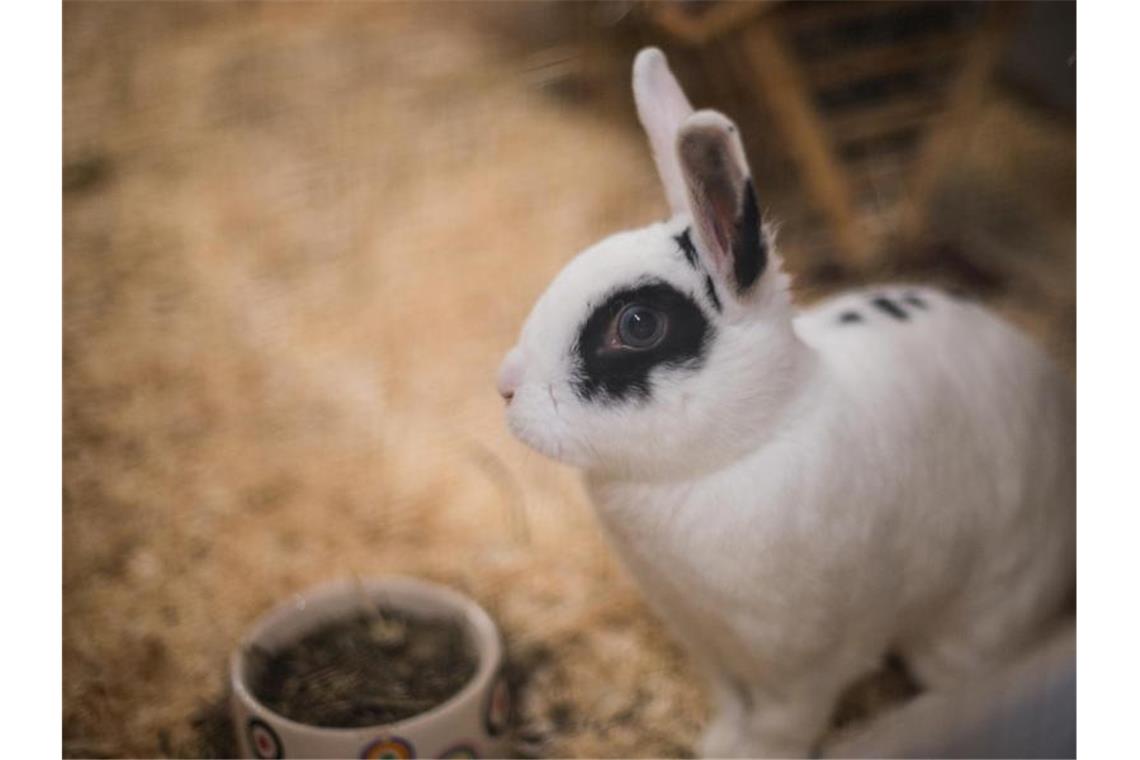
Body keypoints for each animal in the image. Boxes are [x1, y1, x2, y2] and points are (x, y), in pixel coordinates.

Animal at [494, 48, 1071, 760]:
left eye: (637, 324)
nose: (506, 387)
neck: (746, 443)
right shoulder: (704, 638)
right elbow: (729, 701)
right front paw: (715, 741)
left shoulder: (801, 666)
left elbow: (780, 724)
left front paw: (743, 754)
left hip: (977, 616)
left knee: (964, 682)